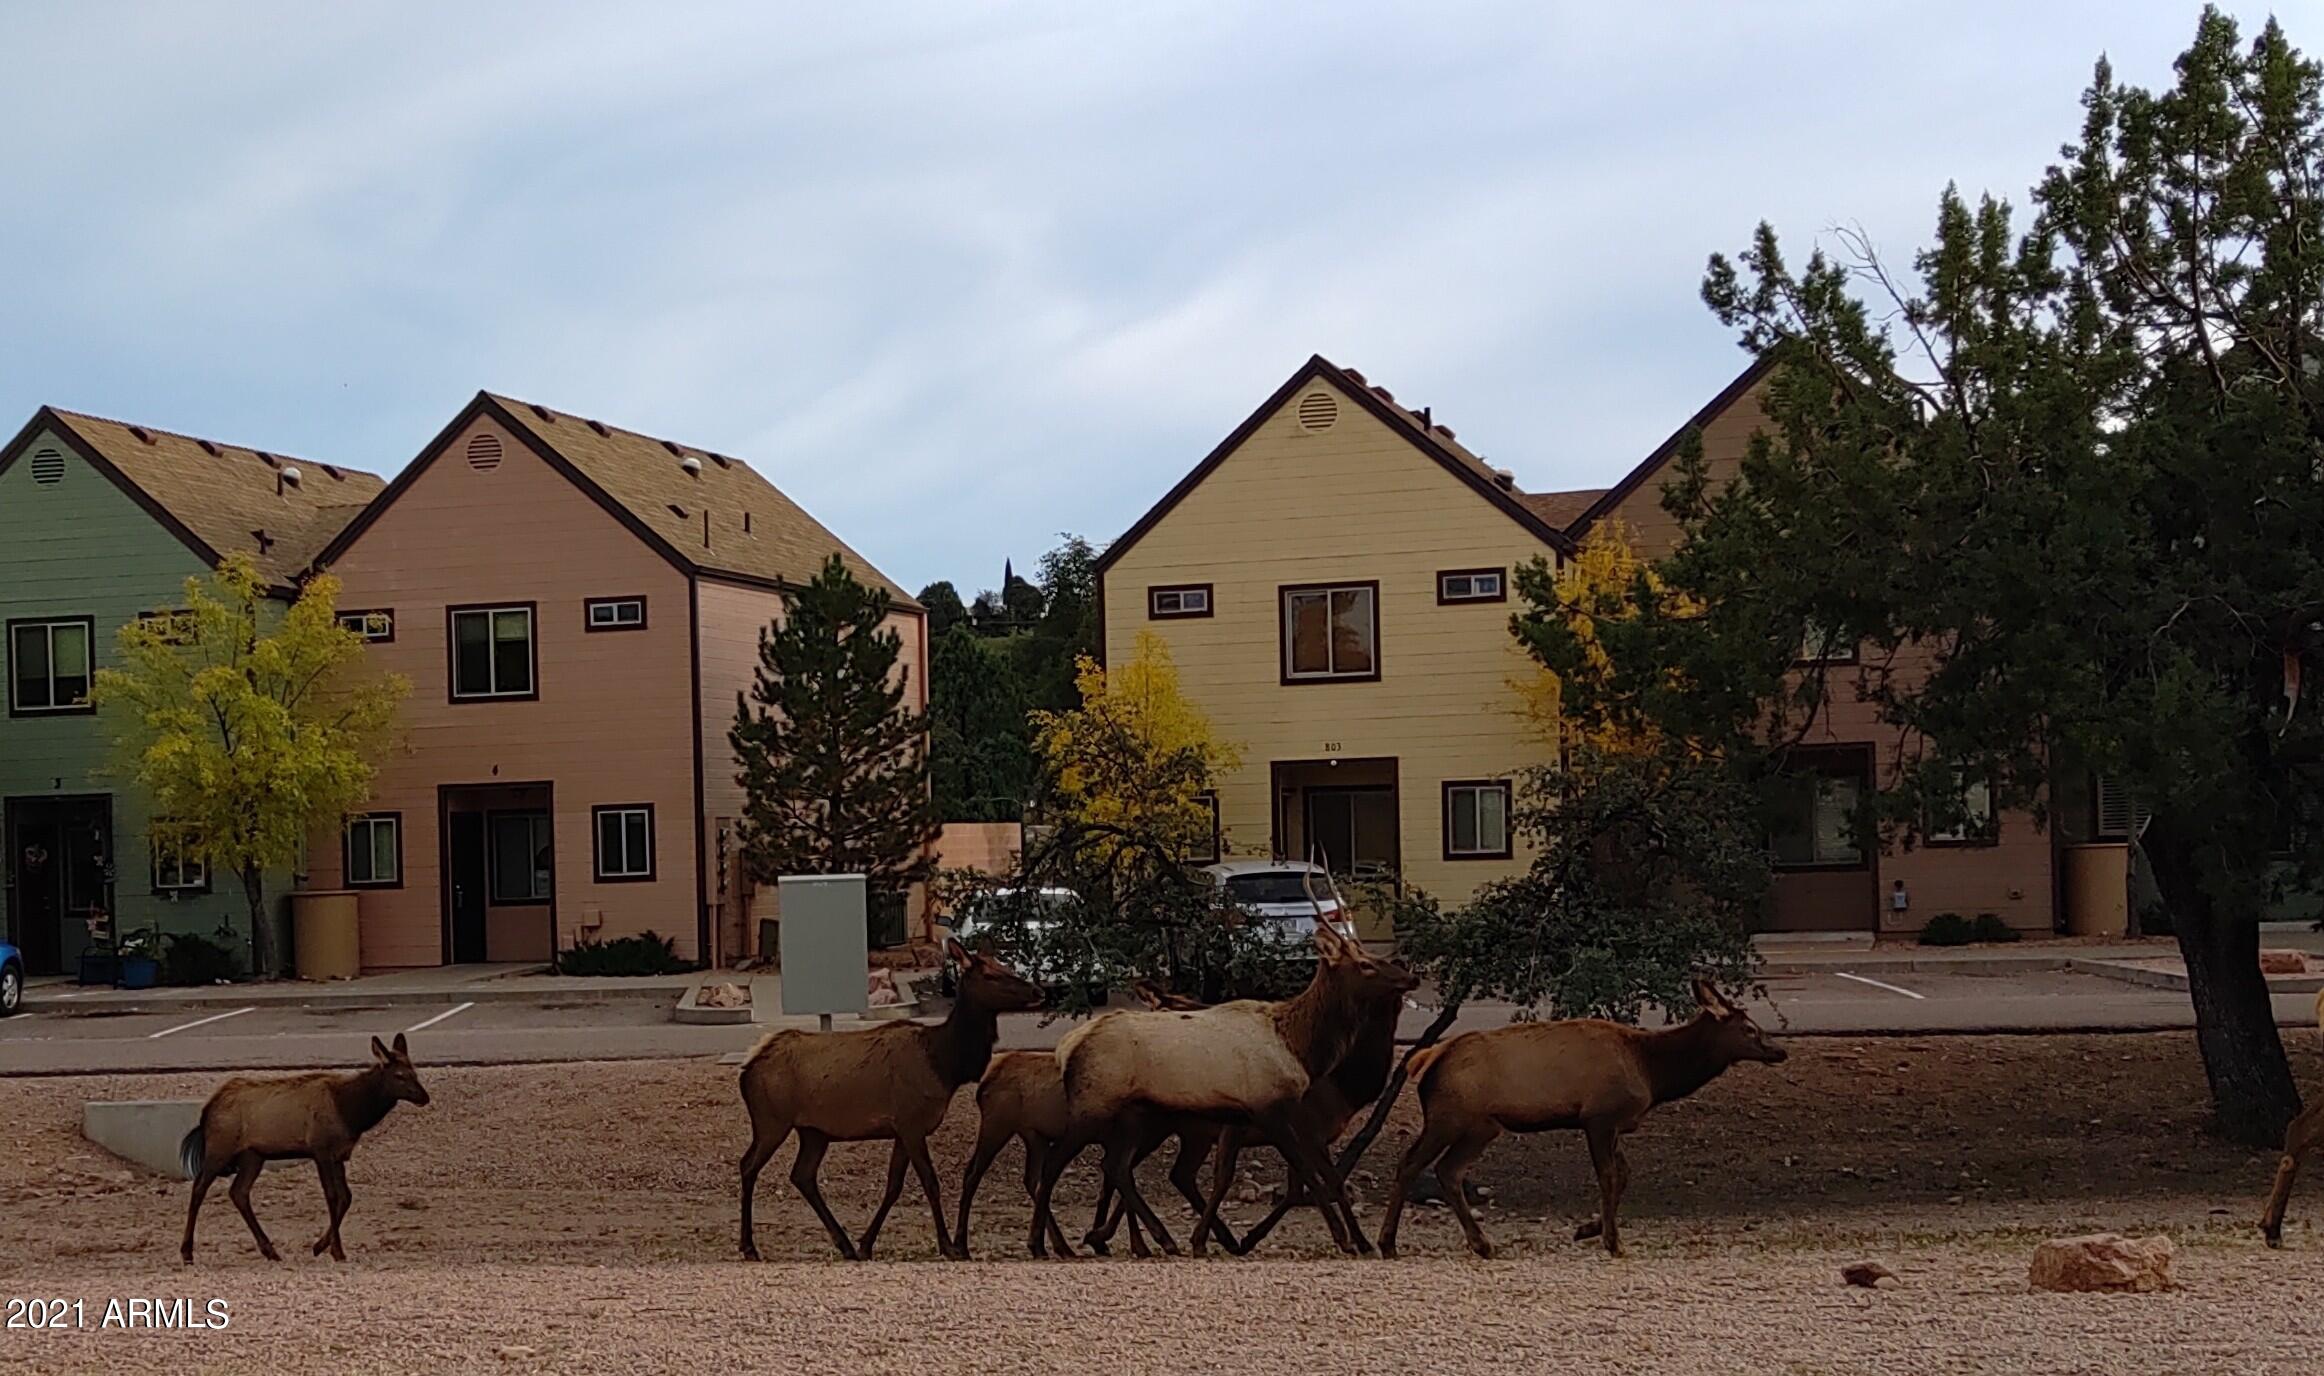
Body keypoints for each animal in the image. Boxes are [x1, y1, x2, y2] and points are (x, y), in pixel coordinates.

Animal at [179, 1033, 431, 1264]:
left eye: (415, 1072)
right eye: (399, 1075)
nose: (424, 1097)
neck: (352, 1114)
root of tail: (206, 1111)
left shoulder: (339, 1154)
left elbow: (346, 1196)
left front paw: (320, 1246)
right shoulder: (321, 1150)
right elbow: (332, 1195)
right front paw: (336, 1251)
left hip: (253, 1156)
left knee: (238, 1192)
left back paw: (270, 1250)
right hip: (219, 1149)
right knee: (199, 1187)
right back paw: (187, 1252)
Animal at [737, 938, 1044, 1261]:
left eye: (1005, 966)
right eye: (990, 975)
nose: (1038, 991)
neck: (946, 1065)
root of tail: (747, 1067)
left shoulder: (902, 1129)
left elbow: (893, 1186)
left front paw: (866, 1244)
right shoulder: (911, 1122)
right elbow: (930, 1182)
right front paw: (948, 1246)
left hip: (813, 1131)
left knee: (802, 1175)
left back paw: (845, 1245)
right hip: (771, 1120)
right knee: (748, 1165)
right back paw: (749, 1246)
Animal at [953, 979, 1234, 1258]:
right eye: (1177, 1007)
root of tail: (983, 1082)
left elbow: (1113, 1184)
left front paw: (1112, 1240)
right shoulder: (1142, 1135)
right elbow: (1121, 1180)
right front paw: (1132, 1243)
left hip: (1035, 1135)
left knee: (1033, 1178)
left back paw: (1055, 1246)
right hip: (998, 1125)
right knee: (974, 1173)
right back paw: (963, 1245)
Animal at [1029, 922, 1420, 1258]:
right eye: (1366, 964)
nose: (1411, 975)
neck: (1298, 1047)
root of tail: (1067, 1047)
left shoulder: (1251, 1118)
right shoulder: (1271, 1109)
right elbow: (1310, 1175)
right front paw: (1346, 1239)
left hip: (1137, 1119)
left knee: (1116, 1167)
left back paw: (1152, 1239)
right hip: (1093, 1108)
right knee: (1055, 1165)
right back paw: (1045, 1244)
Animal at [1377, 977, 1786, 1260]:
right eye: (1749, 1029)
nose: (1780, 1050)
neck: (1652, 1072)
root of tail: (1427, 1058)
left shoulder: (1614, 1124)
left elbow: (1624, 1175)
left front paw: (1586, 1229)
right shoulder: (1599, 1116)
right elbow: (1609, 1176)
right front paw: (1612, 1241)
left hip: (1481, 1126)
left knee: (1447, 1171)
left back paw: (1481, 1244)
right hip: (1450, 1117)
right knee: (1413, 1163)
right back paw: (1389, 1243)